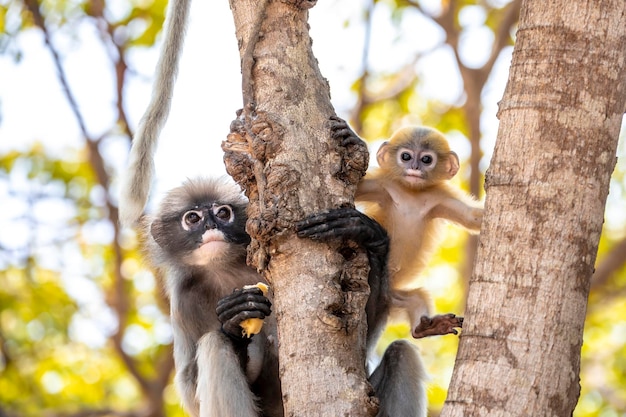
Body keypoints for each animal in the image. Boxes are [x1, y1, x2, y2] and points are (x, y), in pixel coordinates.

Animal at [332, 117, 482, 338]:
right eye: (406, 156)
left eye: (426, 159)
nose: (415, 167)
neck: (411, 194)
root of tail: (389, 298)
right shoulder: (384, 185)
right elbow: (351, 186)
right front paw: (356, 140)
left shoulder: (440, 198)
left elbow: (471, 217)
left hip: (400, 297)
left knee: (417, 303)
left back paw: (428, 327)